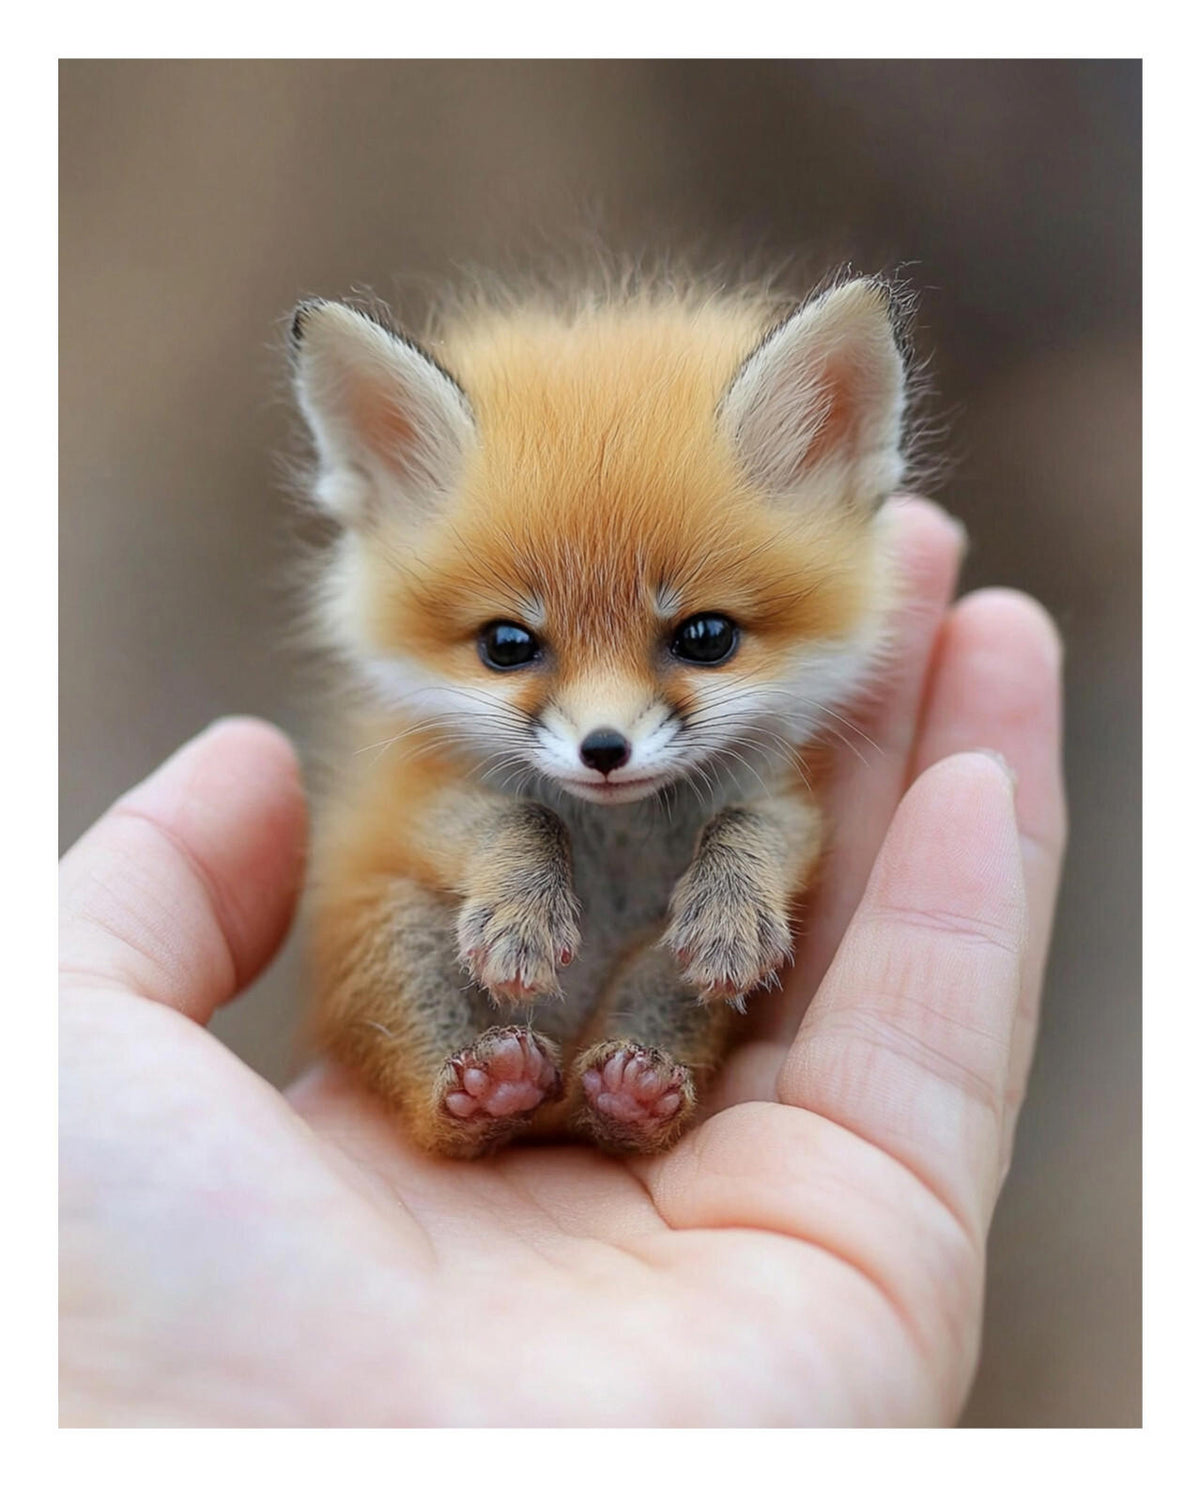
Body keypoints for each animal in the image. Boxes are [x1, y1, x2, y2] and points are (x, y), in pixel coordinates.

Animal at [289, 273, 910, 1157]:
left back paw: (630, 1096)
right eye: (508, 644)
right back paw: (490, 1090)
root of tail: (547, 1116)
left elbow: (754, 828)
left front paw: (733, 910)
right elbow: (518, 816)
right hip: (396, 932)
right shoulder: (416, 799)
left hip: (660, 979)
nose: (605, 749)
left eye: (706, 637)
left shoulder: (785, 799)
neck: (618, 834)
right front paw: (522, 908)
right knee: (442, 1121)